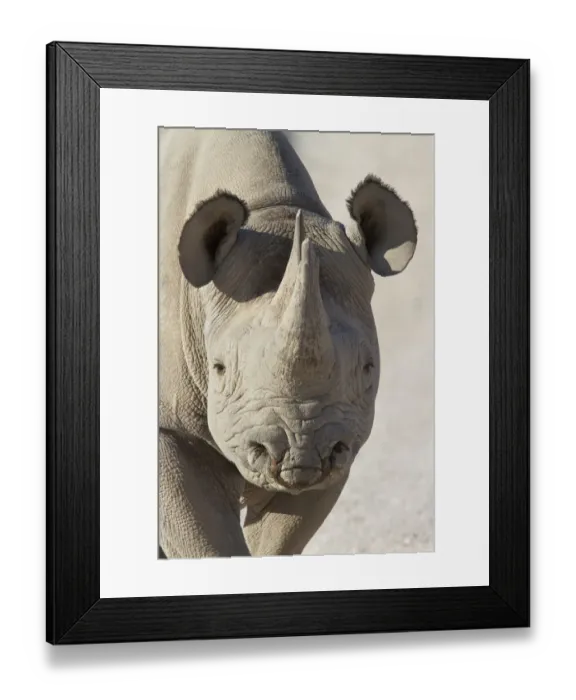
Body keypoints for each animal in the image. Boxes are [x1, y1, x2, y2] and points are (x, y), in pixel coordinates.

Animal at [158, 128, 418, 558]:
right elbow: (210, 542)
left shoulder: (340, 433)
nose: (300, 450)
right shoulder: (168, 429)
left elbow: (278, 540)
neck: (271, 212)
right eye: (219, 369)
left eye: (368, 369)